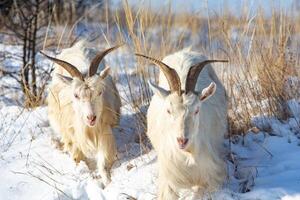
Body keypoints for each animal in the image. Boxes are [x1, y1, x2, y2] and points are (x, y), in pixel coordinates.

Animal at [42, 41, 122, 186]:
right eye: (76, 95)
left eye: (100, 92)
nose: (91, 118)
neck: (88, 129)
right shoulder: (71, 133)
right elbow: (77, 158)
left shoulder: (104, 130)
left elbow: (103, 162)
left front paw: (107, 183)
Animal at [137, 48, 229, 198]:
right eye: (168, 110)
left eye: (197, 110)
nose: (182, 140)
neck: (186, 154)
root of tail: (185, 51)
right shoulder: (169, 177)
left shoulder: (210, 174)